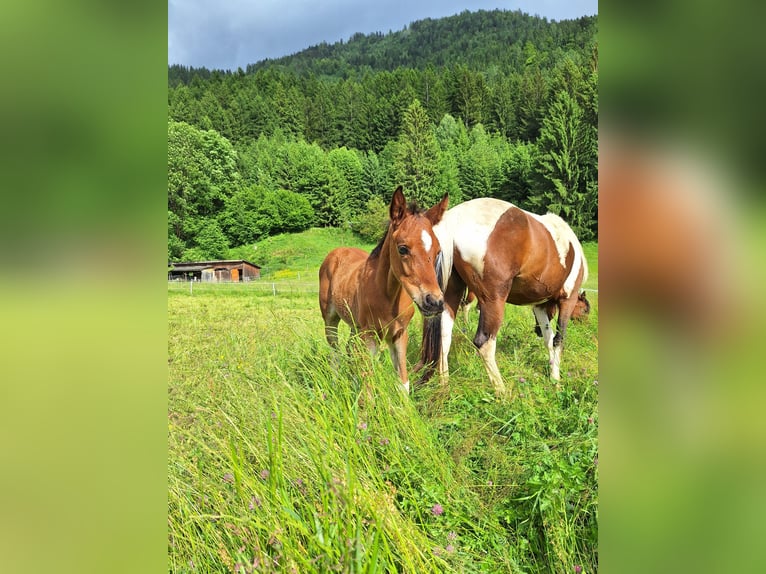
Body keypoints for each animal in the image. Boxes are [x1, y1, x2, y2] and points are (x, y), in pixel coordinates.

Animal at [320, 187, 450, 394]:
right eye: (403, 249)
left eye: (438, 251)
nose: (435, 302)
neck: (388, 296)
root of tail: (337, 251)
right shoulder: (370, 335)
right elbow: (368, 384)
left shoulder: (399, 334)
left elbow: (403, 382)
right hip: (330, 320)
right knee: (336, 353)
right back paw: (335, 383)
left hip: (355, 325)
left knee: (350, 350)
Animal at [420, 200, 592, 398]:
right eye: (585, 310)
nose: (587, 326)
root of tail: (454, 220)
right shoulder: (567, 300)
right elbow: (558, 340)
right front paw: (556, 381)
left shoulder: (540, 307)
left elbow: (548, 339)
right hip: (493, 301)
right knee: (484, 343)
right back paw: (502, 393)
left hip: (451, 295)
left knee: (444, 337)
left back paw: (445, 386)